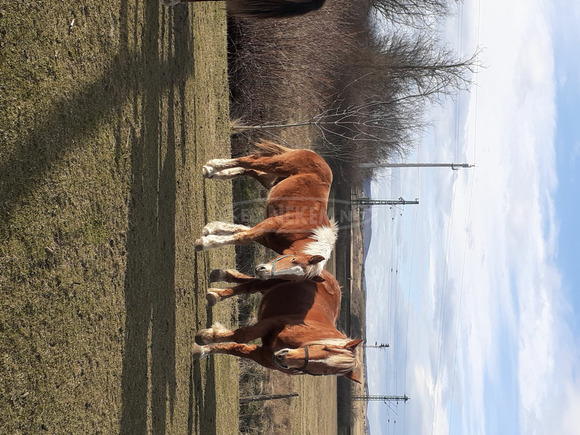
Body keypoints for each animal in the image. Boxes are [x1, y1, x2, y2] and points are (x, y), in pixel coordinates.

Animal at [193, 270, 360, 382]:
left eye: (326, 372)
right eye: (325, 348)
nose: (282, 358)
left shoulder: (260, 355)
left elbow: (236, 348)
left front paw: (202, 350)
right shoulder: (271, 323)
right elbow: (242, 336)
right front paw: (205, 337)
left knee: (248, 282)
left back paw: (217, 283)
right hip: (274, 281)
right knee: (250, 286)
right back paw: (216, 293)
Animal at [197, 141, 338, 282]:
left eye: (292, 278)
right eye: (293, 259)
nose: (262, 271)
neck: (306, 233)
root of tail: (316, 156)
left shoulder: (266, 236)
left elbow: (239, 229)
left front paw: (210, 229)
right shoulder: (272, 223)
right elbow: (243, 237)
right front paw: (203, 243)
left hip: (270, 179)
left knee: (249, 170)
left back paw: (215, 173)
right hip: (276, 165)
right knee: (249, 161)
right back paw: (210, 167)